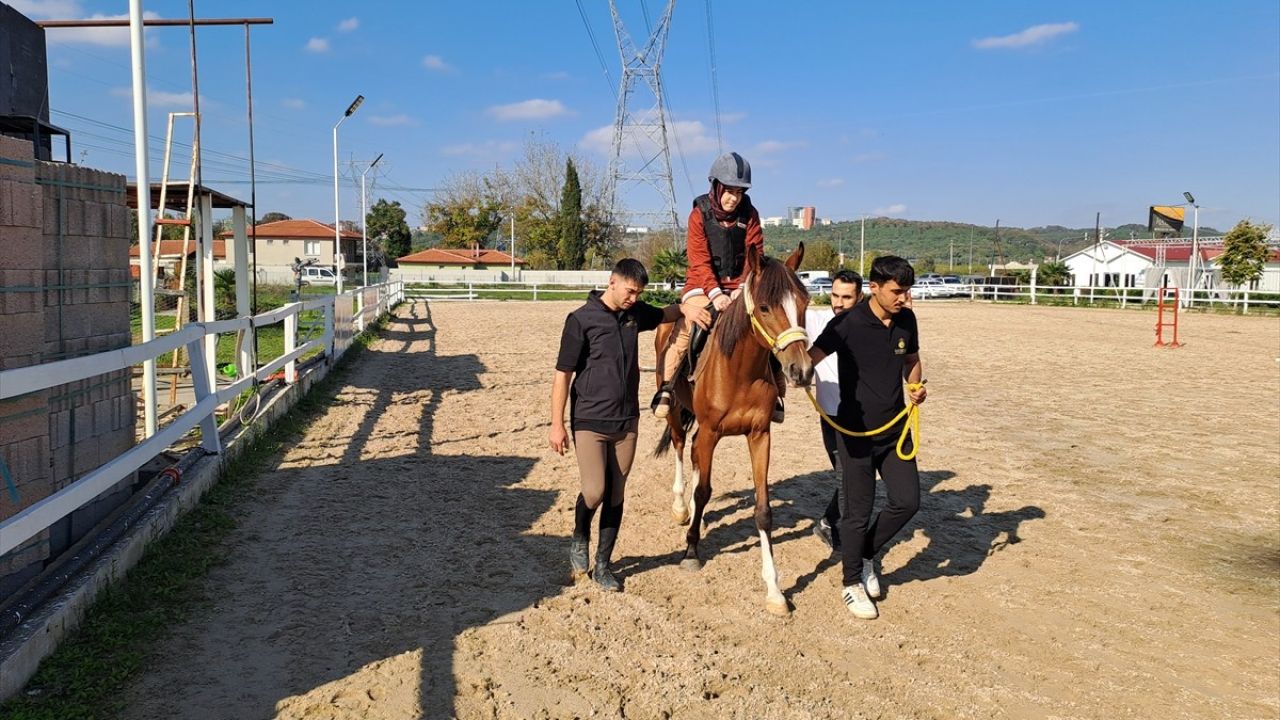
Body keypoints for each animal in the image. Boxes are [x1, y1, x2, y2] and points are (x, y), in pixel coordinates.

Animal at [655, 240, 814, 609]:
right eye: (766, 307)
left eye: (804, 303)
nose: (801, 370)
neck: (740, 371)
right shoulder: (712, 432)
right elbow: (704, 489)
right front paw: (691, 550)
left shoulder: (760, 435)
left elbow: (763, 510)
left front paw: (774, 590)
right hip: (676, 413)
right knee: (681, 448)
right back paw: (681, 506)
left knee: (694, 455)